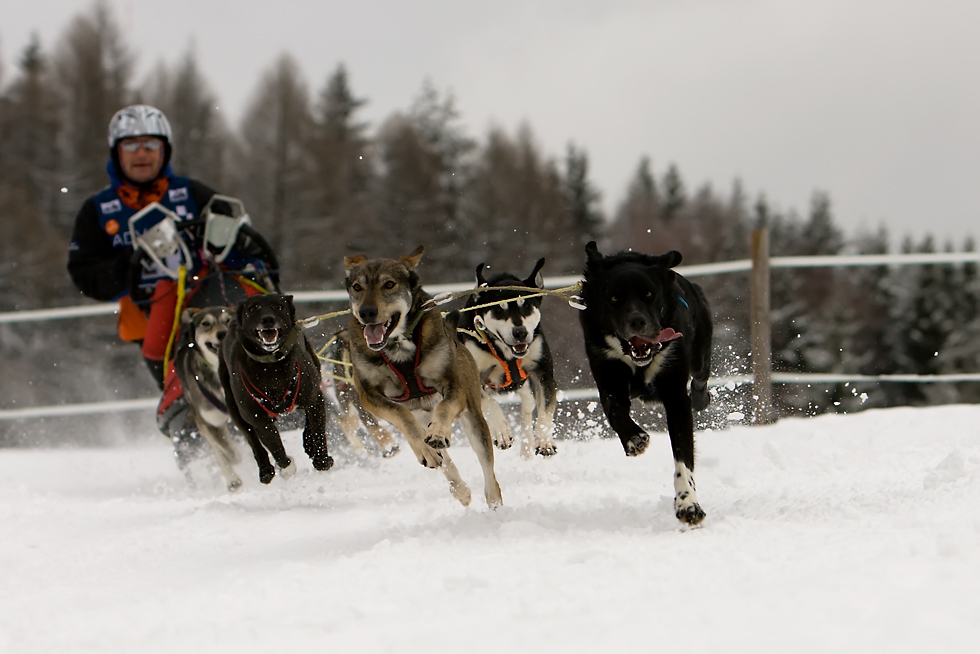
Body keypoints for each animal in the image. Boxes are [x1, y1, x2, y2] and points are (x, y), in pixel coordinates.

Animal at [173, 308, 242, 492]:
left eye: (228, 320)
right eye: (206, 323)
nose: (222, 333)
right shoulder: (207, 421)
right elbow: (224, 453)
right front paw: (233, 478)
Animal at [217, 294, 334, 484]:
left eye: (278, 306)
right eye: (253, 308)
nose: (267, 319)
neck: (272, 366)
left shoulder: (313, 397)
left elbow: (317, 430)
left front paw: (321, 458)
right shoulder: (258, 418)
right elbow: (273, 443)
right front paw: (286, 466)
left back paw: (308, 445)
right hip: (234, 408)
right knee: (253, 441)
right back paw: (265, 470)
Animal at [344, 246, 502, 508]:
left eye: (389, 284)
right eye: (357, 287)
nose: (367, 312)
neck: (398, 345)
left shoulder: (453, 386)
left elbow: (446, 407)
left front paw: (438, 433)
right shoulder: (369, 394)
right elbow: (401, 415)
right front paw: (425, 450)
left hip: (472, 417)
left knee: (488, 468)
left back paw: (494, 501)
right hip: (422, 417)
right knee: (443, 458)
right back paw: (457, 486)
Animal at [580, 243, 712, 524]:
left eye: (649, 294)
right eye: (614, 298)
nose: (637, 321)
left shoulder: (675, 394)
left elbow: (683, 454)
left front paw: (688, 503)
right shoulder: (607, 373)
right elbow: (614, 409)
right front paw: (634, 438)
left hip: (700, 355)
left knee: (700, 378)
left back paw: (701, 397)